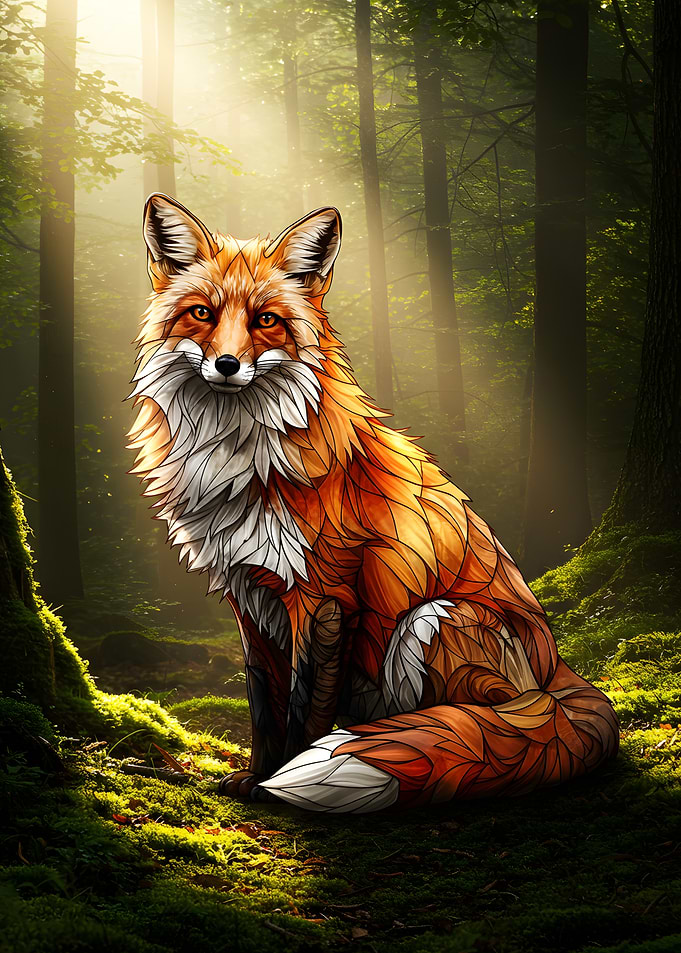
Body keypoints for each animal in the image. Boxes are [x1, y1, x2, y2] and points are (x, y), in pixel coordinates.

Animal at [128, 193, 619, 813]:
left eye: (266, 320)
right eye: (202, 314)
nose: (227, 365)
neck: (240, 458)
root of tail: (561, 670)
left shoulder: (322, 595)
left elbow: (303, 711)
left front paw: (277, 783)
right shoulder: (249, 594)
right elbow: (263, 703)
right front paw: (254, 775)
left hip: (432, 620)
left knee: (479, 719)